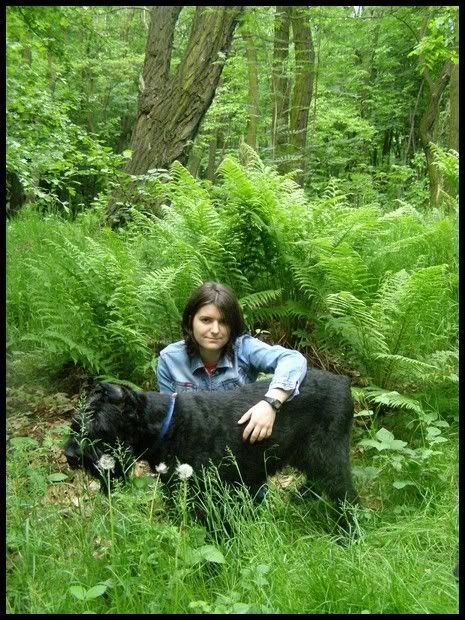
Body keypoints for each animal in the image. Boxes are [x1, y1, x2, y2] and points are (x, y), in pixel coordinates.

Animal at [64, 370, 360, 534]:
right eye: (76, 423)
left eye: (100, 427)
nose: (70, 455)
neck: (166, 424)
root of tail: (344, 382)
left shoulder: (208, 496)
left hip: (329, 457)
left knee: (347, 497)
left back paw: (349, 535)